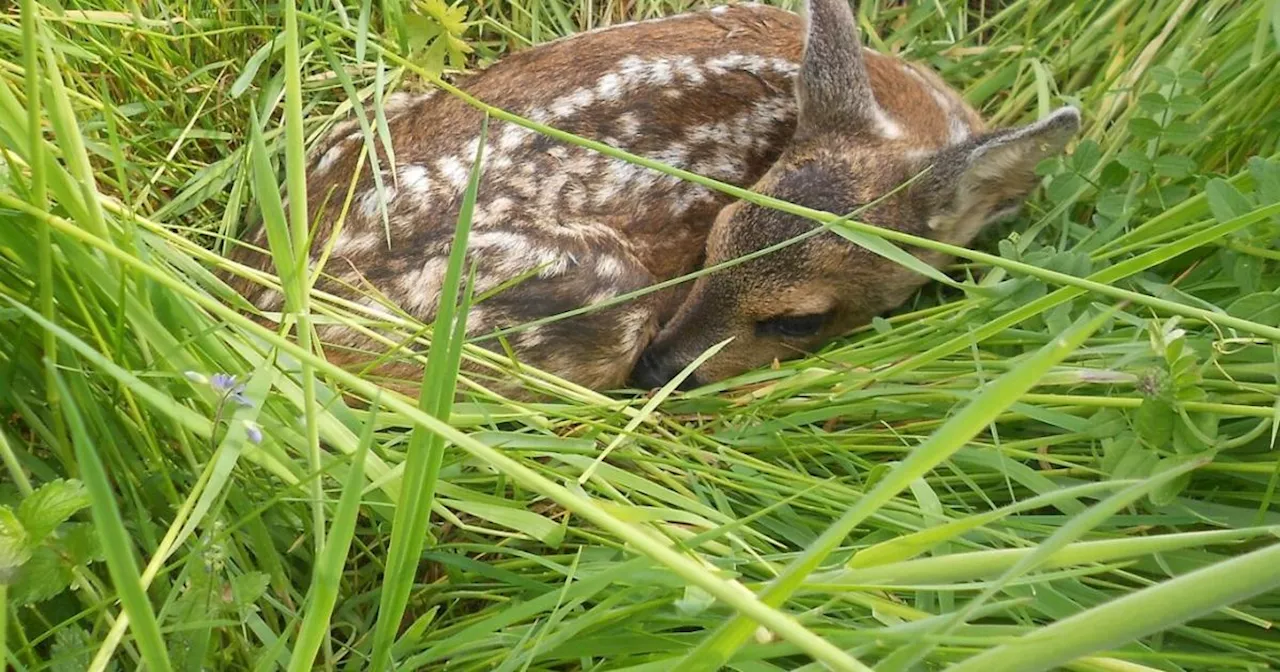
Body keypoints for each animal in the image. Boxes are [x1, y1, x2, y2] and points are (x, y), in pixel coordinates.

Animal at [222, 0, 1080, 399]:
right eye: (712, 238)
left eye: (800, 320)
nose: (659, 370)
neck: (914, 117)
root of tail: (262, 304)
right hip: (594, 289)